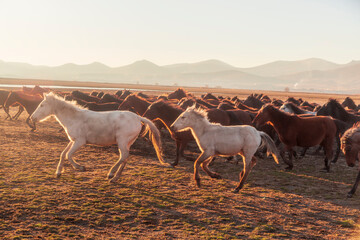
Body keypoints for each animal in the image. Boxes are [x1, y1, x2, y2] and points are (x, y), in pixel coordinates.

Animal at [30, 92, 169, 182]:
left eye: (42, 105)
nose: (32, 117)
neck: (74, 118)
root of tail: (138, 117)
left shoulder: (80, 141)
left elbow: (69, 155)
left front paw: (81, 167)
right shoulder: (73, 140)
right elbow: (63, 154)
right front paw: (58, 173)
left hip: (122, 141)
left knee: (123, 156)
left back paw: (111, 174)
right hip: (127, 143)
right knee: (125, 158)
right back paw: (115, 178)